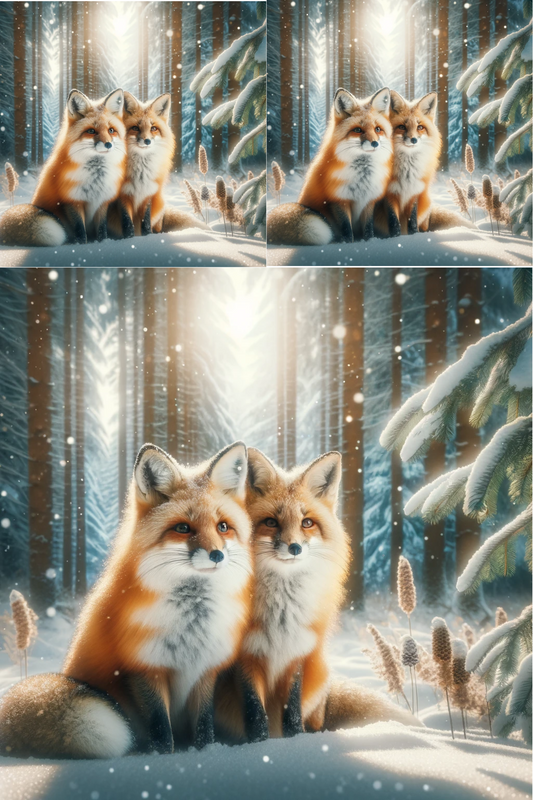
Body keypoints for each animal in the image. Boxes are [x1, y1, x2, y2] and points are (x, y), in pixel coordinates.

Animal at [0, 89, 126, 247]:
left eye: (111, 130)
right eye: (91, 131)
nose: (108, 144)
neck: (96, 179)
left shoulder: (103, 201)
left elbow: (101, 229)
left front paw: (103, 243)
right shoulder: (71, 201)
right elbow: (80, 228)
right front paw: (81, 245)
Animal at [0, 442, 253, 759]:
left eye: (223, 527)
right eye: (183, 528)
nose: (217, 555)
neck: (191, 626)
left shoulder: (206, 670)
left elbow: (204, 725)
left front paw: (207, 753)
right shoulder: (143, 669)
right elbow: (161, 727)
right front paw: (163, 757)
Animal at [215, 449, 418, 743]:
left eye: (307, 523)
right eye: (271, 522)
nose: (295, 548)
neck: (281, 616)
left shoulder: (299, 652)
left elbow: (292, 711)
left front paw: (298, 743)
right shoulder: (246, 659)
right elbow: (255, 714)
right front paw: (258, 746)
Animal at [267, 87, 393, 246]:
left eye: (377, 129)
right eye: (358, 130)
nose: (375, 143)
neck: (362, 178)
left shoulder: (369, 200)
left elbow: (368, 228)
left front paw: (370, 242)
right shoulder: (338, 200)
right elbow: (347, 228)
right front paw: (348, 244)